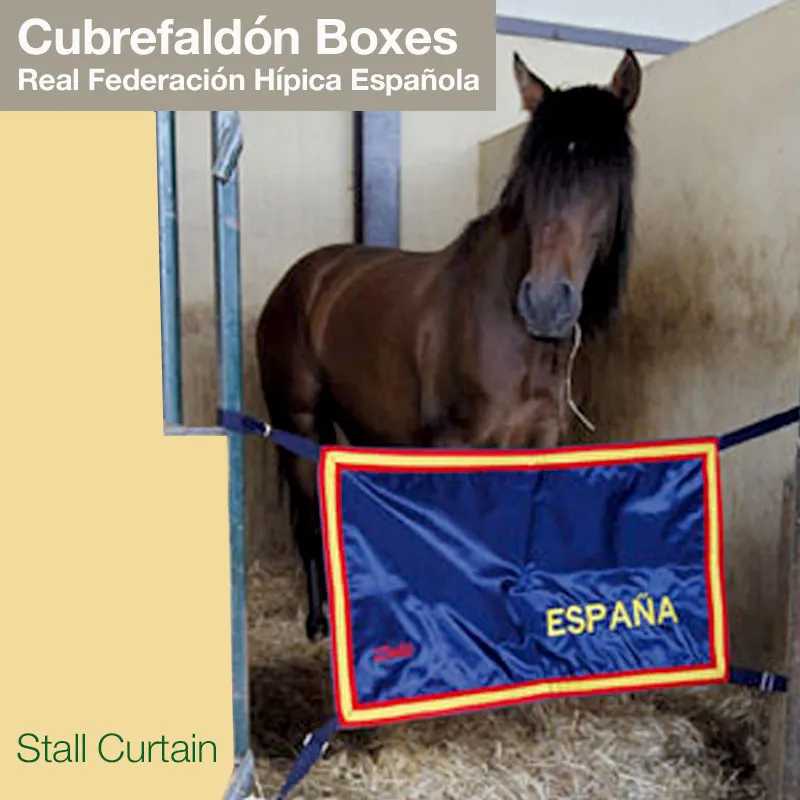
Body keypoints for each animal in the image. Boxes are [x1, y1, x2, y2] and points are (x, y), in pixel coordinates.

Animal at [256, 50, 642, 640]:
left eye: (604, 179)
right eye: (534, 179)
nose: (545, 302)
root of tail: (301, 278)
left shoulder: (537, 445)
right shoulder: (458, 448)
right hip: (298, 420)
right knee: (308, 518)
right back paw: (322, 624)